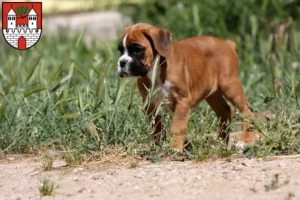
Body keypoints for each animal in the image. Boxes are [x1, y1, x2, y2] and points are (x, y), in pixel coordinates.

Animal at [117, 23, 255, 152]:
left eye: (137, 50)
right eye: (120, 50)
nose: (121, 62)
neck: (156, 70)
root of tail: (227, 43)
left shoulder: (182, 101)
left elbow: (177, 127)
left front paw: (175, 148)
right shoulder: (151, 105)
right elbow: (156, 127)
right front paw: (158, 146)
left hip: (230, 86)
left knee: (247, 112)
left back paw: (245, 142)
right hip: (212, 93)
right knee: (225, 111)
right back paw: (220, 142)